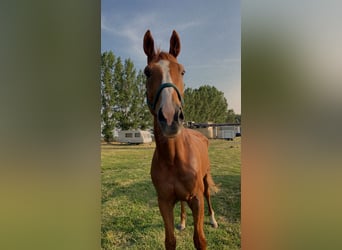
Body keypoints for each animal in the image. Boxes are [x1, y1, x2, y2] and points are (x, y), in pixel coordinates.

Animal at [142, 29, 218, 250]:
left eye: (182, 71)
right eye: (147, 72)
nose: (170, 117)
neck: (174, 158)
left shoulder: (197, 199)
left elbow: (200, 240)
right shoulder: (164, 202)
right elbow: (170, 241)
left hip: (205, 180)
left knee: (209, 195)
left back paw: (213, 220)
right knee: (182, 203)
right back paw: (183, 221)